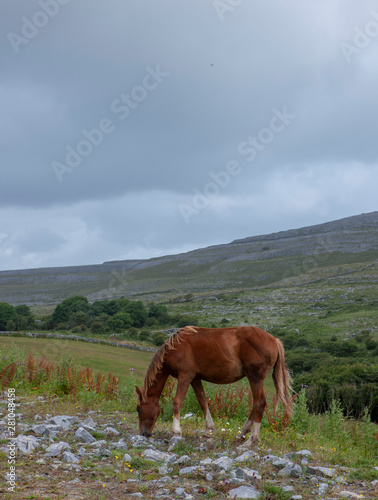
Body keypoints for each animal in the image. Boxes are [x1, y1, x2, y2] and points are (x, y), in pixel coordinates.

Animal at [136, 326, 292, 444]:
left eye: (138, 409)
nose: (144, 434)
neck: (175, 347)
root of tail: (274, 340)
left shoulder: (185, 376)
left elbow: (177, 402)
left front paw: (176, 431)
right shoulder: (195, 379)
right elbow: (203, 402)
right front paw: (209, 430)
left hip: (255, 378)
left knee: (259, 403)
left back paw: (252, 439)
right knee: (256, 404)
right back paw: (242, 433)